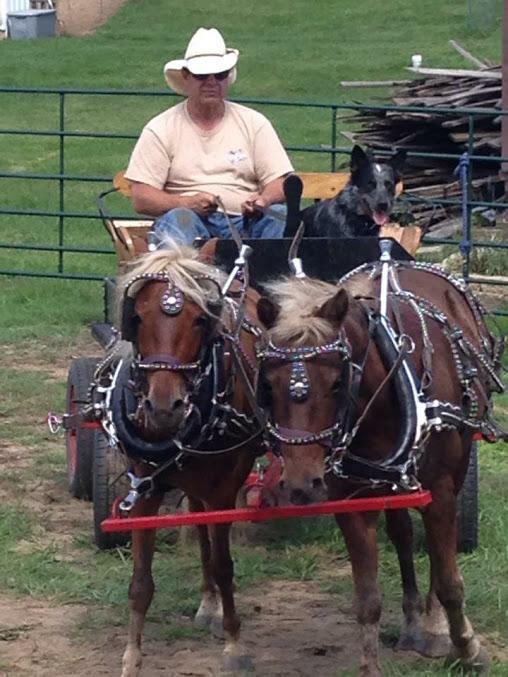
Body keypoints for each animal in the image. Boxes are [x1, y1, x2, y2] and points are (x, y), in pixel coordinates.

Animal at [116, 242, 264, 676]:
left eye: (200, 320)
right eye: (137, 316)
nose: (165, 407)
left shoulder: (224, 490)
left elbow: (225, 564)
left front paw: (233, 644)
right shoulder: (144, 488)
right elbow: (141, 580)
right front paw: (132, 657)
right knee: (198, 530)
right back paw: (207, 602)